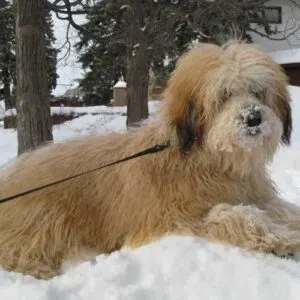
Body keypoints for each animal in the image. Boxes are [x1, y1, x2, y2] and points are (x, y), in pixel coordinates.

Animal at [0, 40, 300, 278]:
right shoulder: (175, 218)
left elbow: (280, 209)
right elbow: (235, 215)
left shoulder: (255, 195)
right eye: (224, 95)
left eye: (258, 92)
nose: (253, 117)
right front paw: (282, 238)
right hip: (44, 219)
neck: (207, 159)